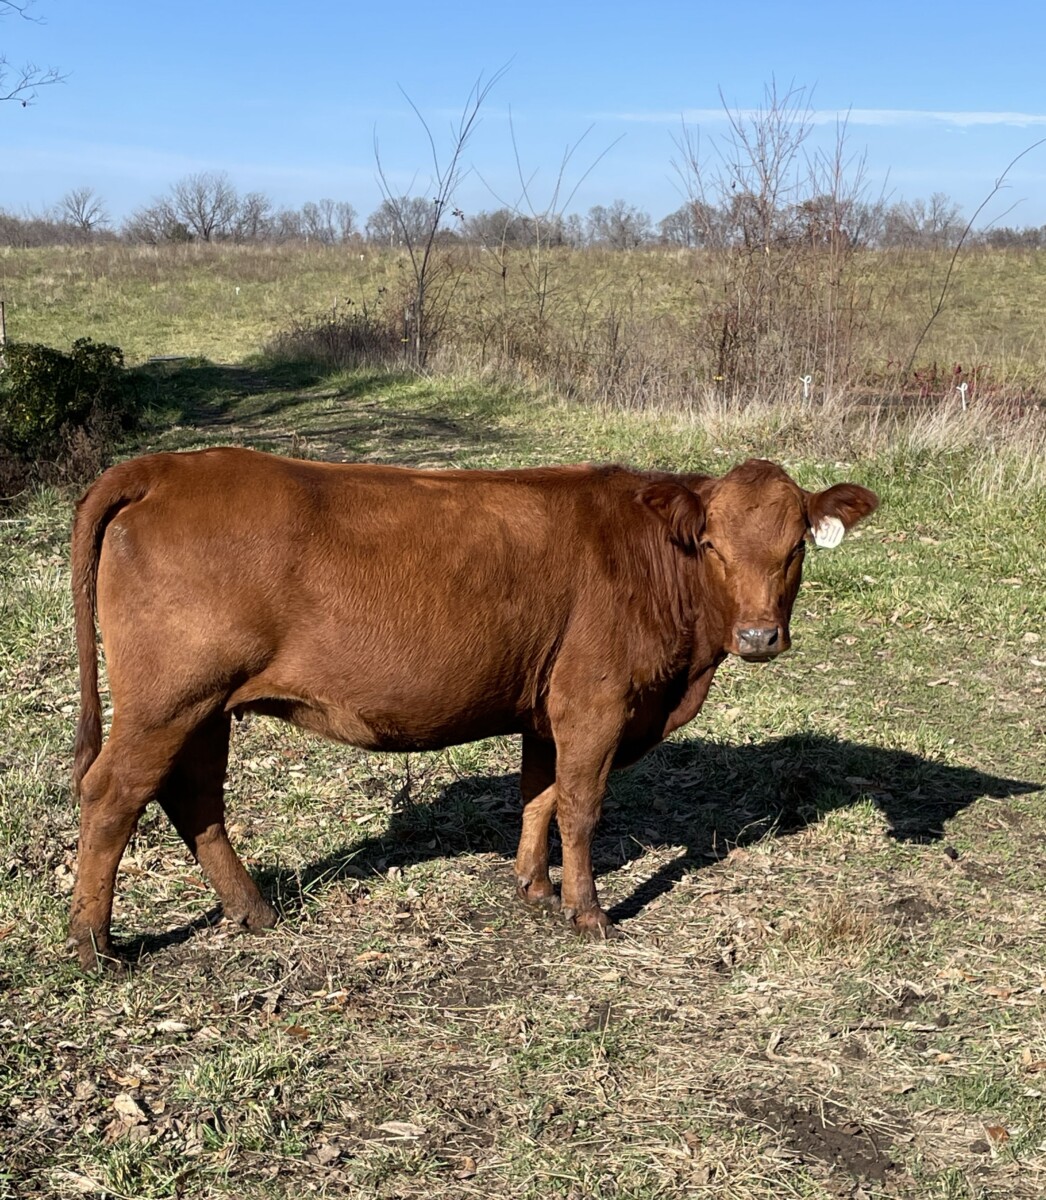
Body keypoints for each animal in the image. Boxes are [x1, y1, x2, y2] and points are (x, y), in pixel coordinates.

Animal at [68, 448, 878, 969]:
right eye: (711, 544)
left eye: (796, 547)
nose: (759, 635)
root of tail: (166, 466)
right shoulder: (595, 700)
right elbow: (580, 806)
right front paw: (587, 911)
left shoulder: (547, 707)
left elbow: (538, 796)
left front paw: (533, 887)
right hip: (170, 698)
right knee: (114, 793)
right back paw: (93, 944)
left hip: (203, 708)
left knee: (192, 797)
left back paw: (253, 909)